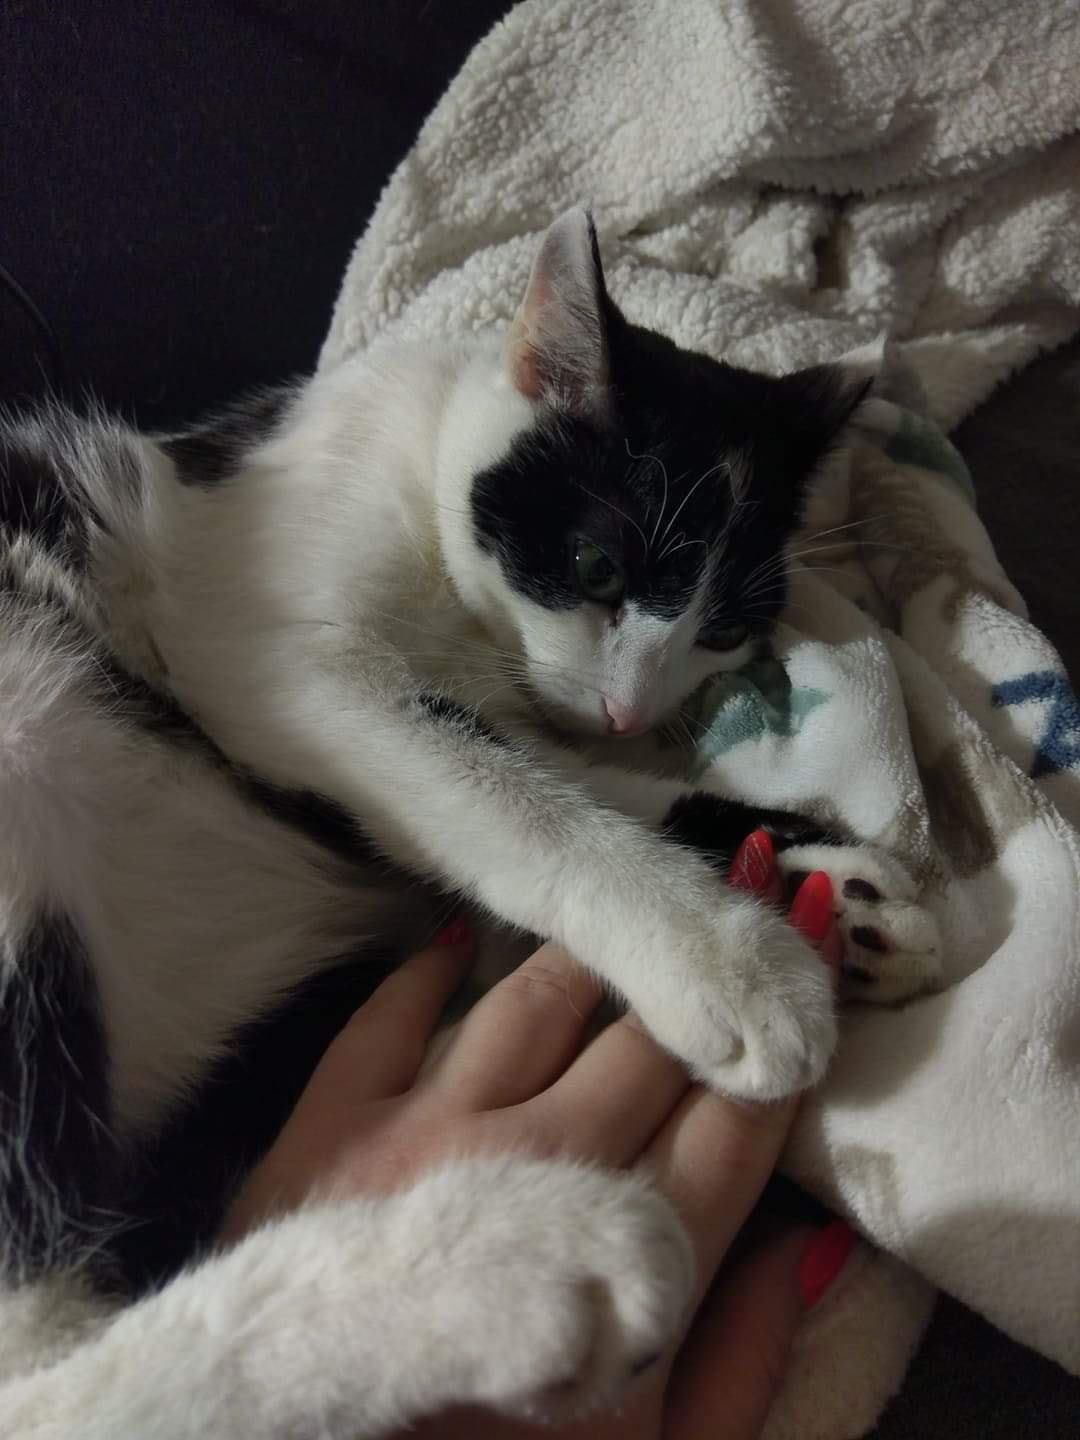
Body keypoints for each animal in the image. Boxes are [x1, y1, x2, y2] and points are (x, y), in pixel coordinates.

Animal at [0, 209, 938, 1437]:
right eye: (595, 564)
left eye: (725, 633)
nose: (631, 709)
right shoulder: (277, 654)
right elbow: (500, 790)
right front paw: (731, 959)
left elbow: (557, 772)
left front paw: (831, 888)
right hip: (22, 710)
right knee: (41, 1382)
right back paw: (515, 1269)